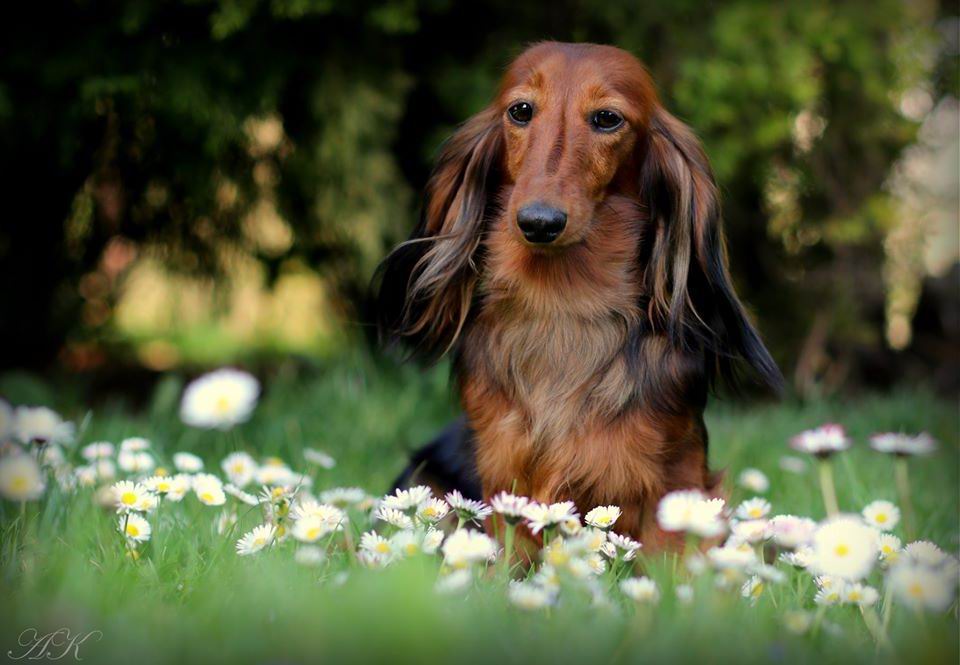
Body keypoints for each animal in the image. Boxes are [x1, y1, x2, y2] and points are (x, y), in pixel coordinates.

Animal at [378, 42, 782, 550]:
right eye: (521, 110)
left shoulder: (675, 482)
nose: (539, 222)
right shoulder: (505, 480)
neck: (564, 305)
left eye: (607, 118)